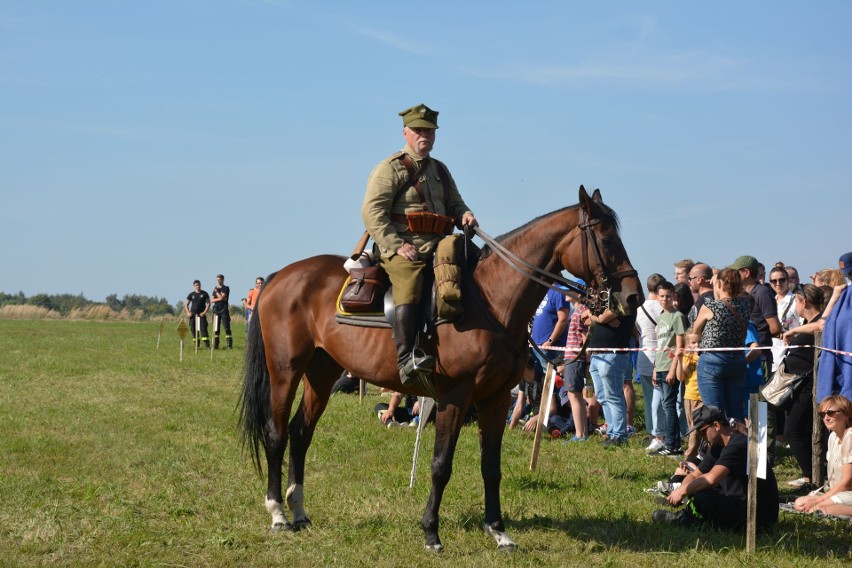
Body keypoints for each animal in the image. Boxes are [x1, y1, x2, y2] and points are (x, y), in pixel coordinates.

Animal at [238, 186, 640, 552]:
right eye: (606, 237)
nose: (632, 296)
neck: (491, 301)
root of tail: (280, 276)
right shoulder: (455, 398)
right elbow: (441, 465)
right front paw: (431, 533)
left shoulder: (495, 400)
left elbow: (490, 467)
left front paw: (499, 531)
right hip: (286, 371)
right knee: (277, 433)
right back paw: (278, 513)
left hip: (321, 374)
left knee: (300, 433)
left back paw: (299, 512)